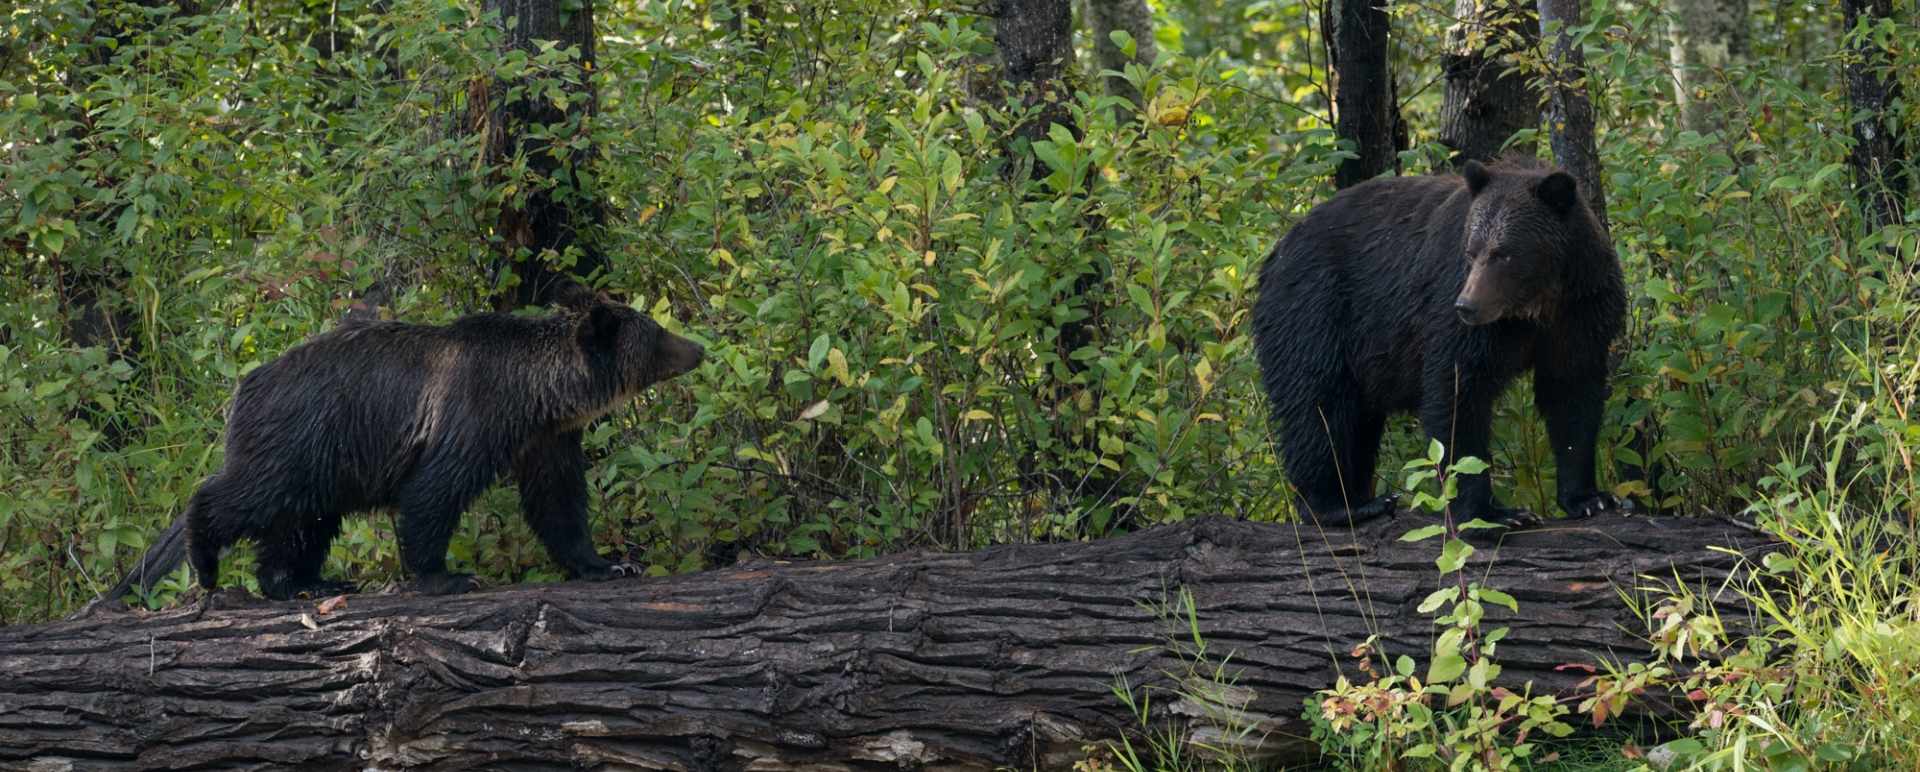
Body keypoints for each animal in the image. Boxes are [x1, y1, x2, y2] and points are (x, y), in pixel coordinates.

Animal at [103, 293, 704, 601]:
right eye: (656, 335)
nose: (697, 347)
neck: (535, 395)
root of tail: (244, 384)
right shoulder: (470, 415)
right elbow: (434, 492)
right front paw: (447, 574)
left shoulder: (545, 438)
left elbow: (557, 503)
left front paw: (606, 564)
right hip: (301, 437)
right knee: (249, 496)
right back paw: (205, 562)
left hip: (325, 464)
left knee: (302, 524)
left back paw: (303, 582)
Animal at [1251, 159, 1629, 528]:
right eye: (1471, 251)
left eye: (1503, 254)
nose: (1466, 306)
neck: (1536, 305)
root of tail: (1275, 252)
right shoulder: (1461, 320)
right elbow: (1457, 394)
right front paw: (1493, 511)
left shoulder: (1581, 312)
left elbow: (1573, 395)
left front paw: (1590, 498)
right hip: (1315, 312)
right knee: (1319, 405)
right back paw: (1338, 506)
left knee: (1356, 419)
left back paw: (1360, 498)